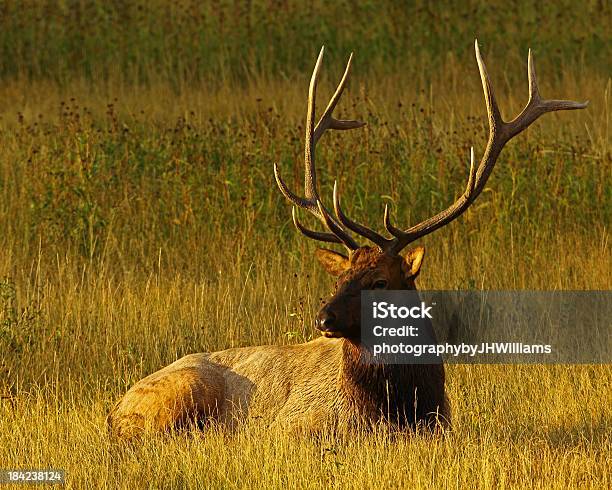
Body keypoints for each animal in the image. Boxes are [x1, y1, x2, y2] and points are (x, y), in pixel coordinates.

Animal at [107, 42, 584, 440]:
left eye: (379, 281)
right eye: (342, 277)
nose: (323, 318)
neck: (397, 408)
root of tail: (112, 410)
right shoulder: (291, 426)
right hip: (181, 391)